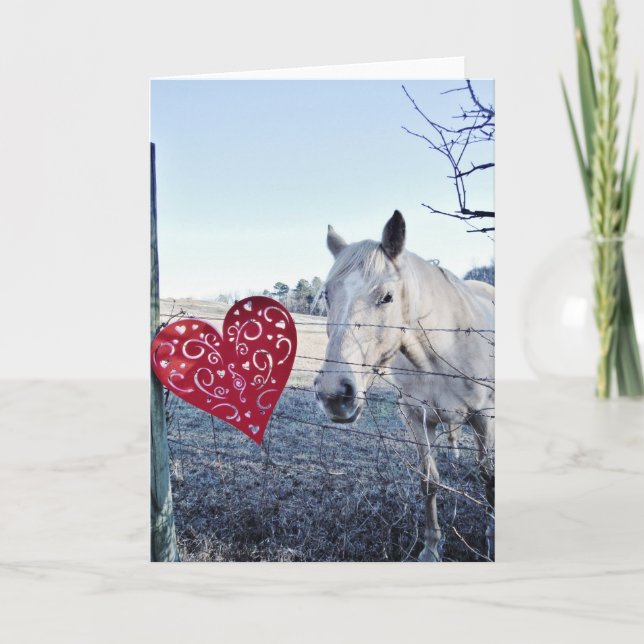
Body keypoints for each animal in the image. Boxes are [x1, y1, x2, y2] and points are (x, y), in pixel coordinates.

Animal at [313, 210, 495, 561]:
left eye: (387, 297)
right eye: (327, 294)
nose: (334, 394)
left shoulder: (483, 416)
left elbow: (489, 478)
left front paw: (492, 536)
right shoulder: (417, 418)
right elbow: (429, 481)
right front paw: (431, 548)